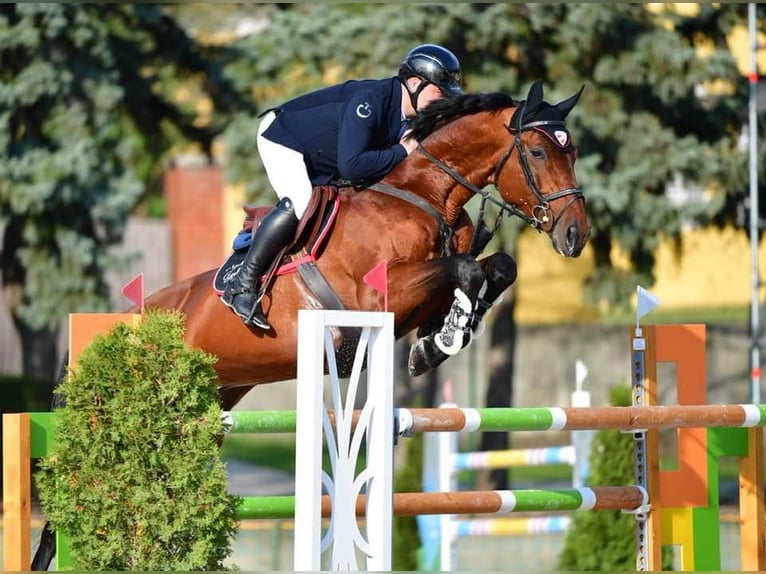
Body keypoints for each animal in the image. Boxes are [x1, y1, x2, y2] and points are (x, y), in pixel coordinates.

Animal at [31, 79, 590, 569]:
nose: (576, 235)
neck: (426, 196)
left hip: (204, 410)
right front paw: (446, 335)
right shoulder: (375, 296)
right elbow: (466, 268)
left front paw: (442, 338)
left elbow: (496, 267)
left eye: (574, 152)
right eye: (538, 153)